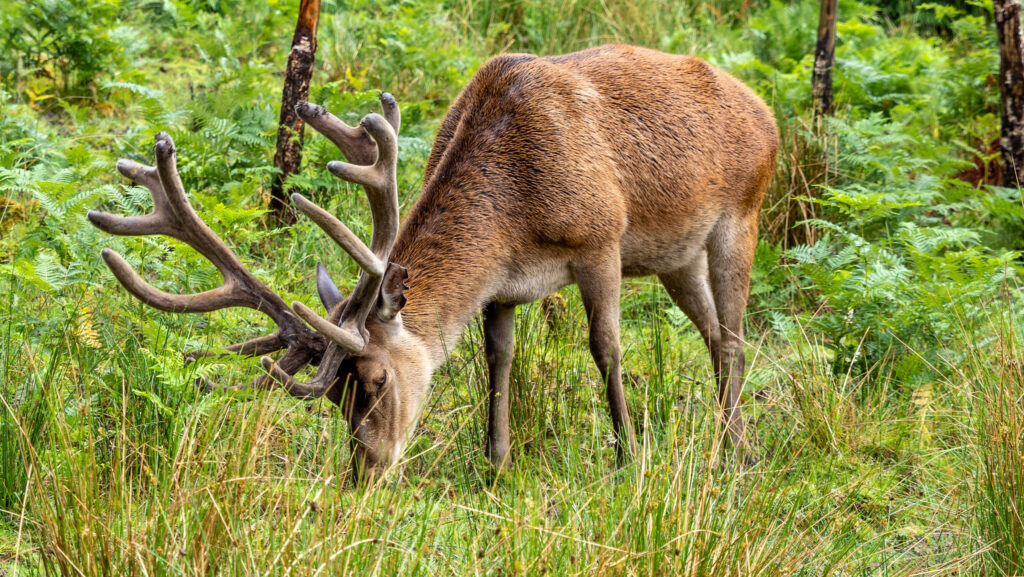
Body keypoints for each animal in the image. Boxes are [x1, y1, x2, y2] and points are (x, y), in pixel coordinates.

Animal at [88, 44, 778, 478]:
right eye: (334, 397)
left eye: (376, 381)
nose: (365, 471)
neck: (516, 211)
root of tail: (766, 110)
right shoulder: (503, 286)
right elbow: (498, 361)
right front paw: (498, 464)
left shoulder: (601, 238)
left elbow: (605, 348)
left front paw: (628, 460)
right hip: (674, 255)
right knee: (714, 334)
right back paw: (732, 440)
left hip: (741, 216)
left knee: (735, 336)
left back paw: (739, 454)